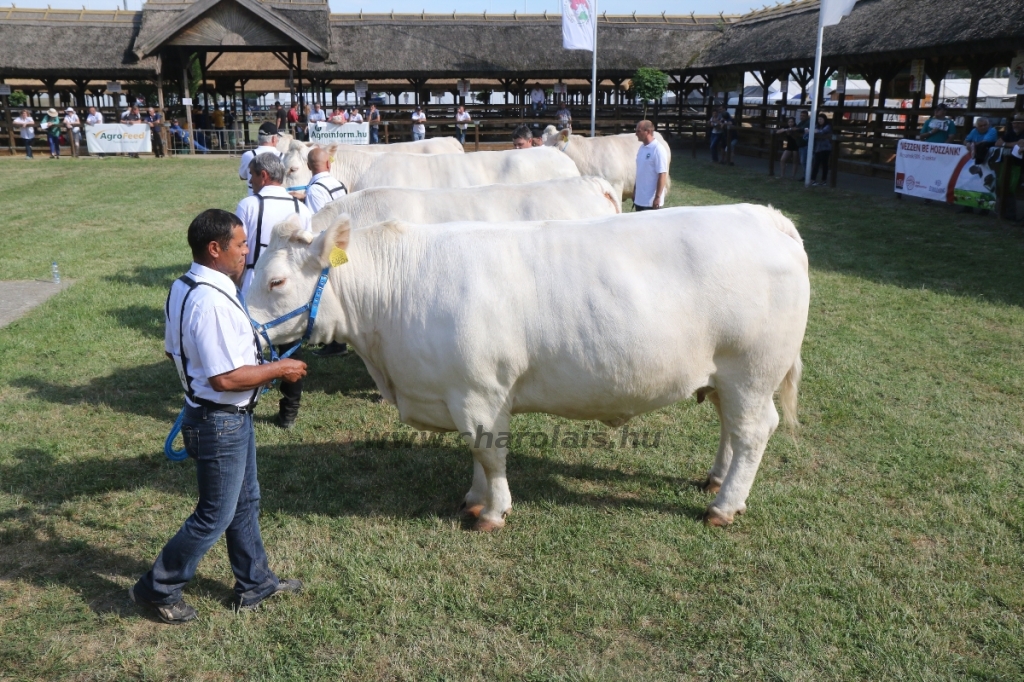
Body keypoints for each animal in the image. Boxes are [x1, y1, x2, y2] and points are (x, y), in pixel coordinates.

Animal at [245, 204, 806, 528]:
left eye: (275, 281)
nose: (240, 329)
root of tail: (769, 216)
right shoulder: (458, 391)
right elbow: (475, 455)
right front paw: (473, 498)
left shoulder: (479, 391)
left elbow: (489, 453)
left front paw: (492, 512)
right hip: (726, 377)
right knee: (730, 427)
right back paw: (715, 479)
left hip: (753, 370)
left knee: (754, 430)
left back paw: (724, 506)